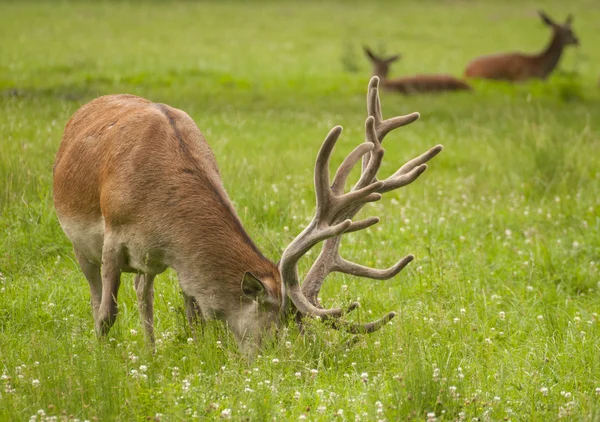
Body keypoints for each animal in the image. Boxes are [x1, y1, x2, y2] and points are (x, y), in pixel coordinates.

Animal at [55, 76, 440, 352]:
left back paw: (150, 351)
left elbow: (194, 317)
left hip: (145, 264)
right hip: (79, 242)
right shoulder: (112, 237)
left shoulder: (177, 263)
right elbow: (107, 314)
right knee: (98, 293)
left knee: (143, 291)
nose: (288, 362)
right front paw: (102, 358)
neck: (155, 208)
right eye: (275, 333)